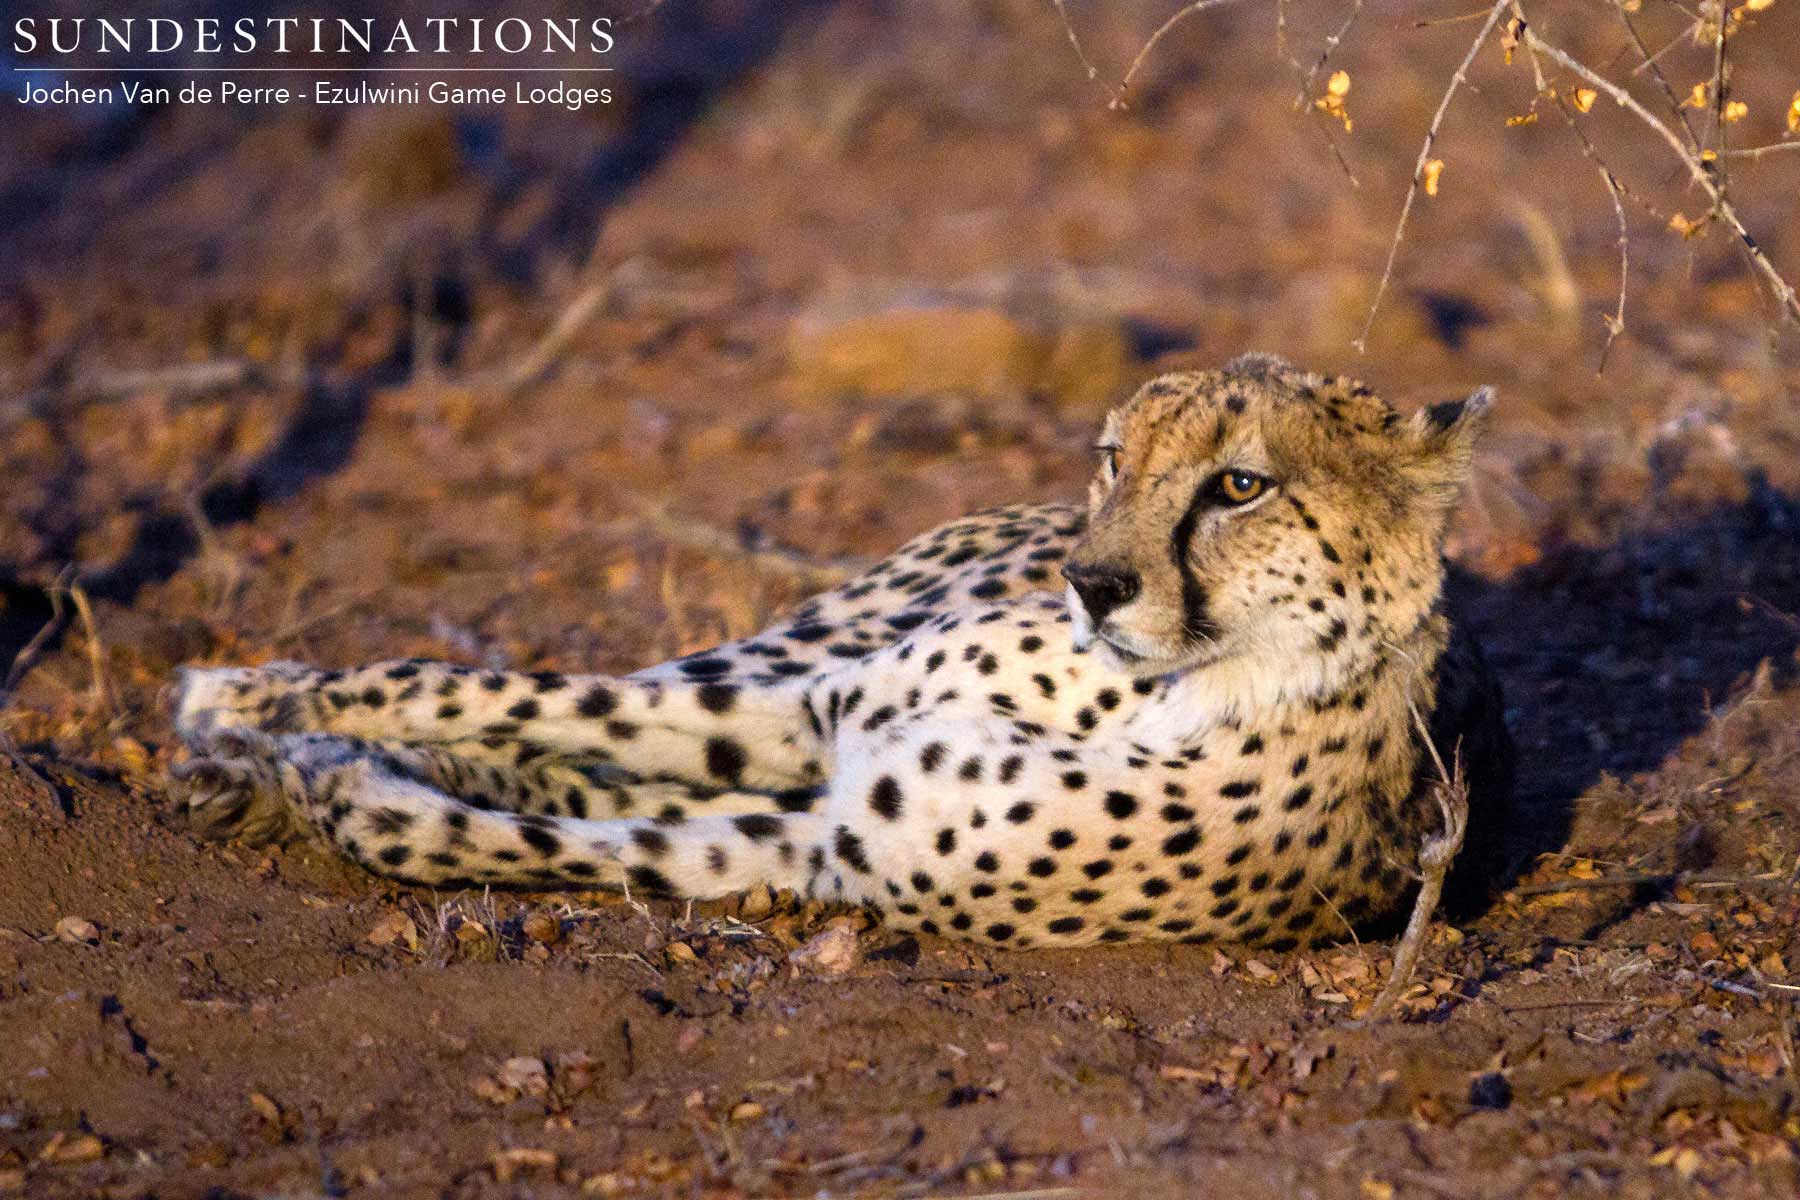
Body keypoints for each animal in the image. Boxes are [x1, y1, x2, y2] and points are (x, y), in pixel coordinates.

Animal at [169, 353, 1513, 951]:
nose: (1090, 582)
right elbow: (484, 687)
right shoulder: (821, 716)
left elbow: (524, 833)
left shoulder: (834, 843)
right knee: (603, 707)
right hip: (810, 647)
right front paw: (248, 698)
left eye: (1240, 485)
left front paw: (341, 788)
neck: (1156, 693)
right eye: (1114, 459)